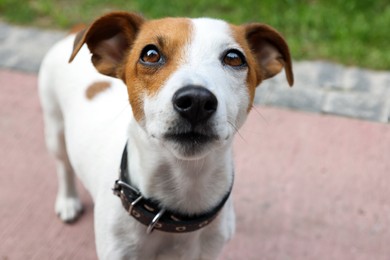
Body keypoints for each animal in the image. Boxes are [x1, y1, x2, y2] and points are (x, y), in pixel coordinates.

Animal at [38, 11, 292, 258]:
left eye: (234, 57)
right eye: (150, 54)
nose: (196, 101)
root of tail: (72, 32)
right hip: (55, 130)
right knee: (64, 166)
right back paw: (68, 201)